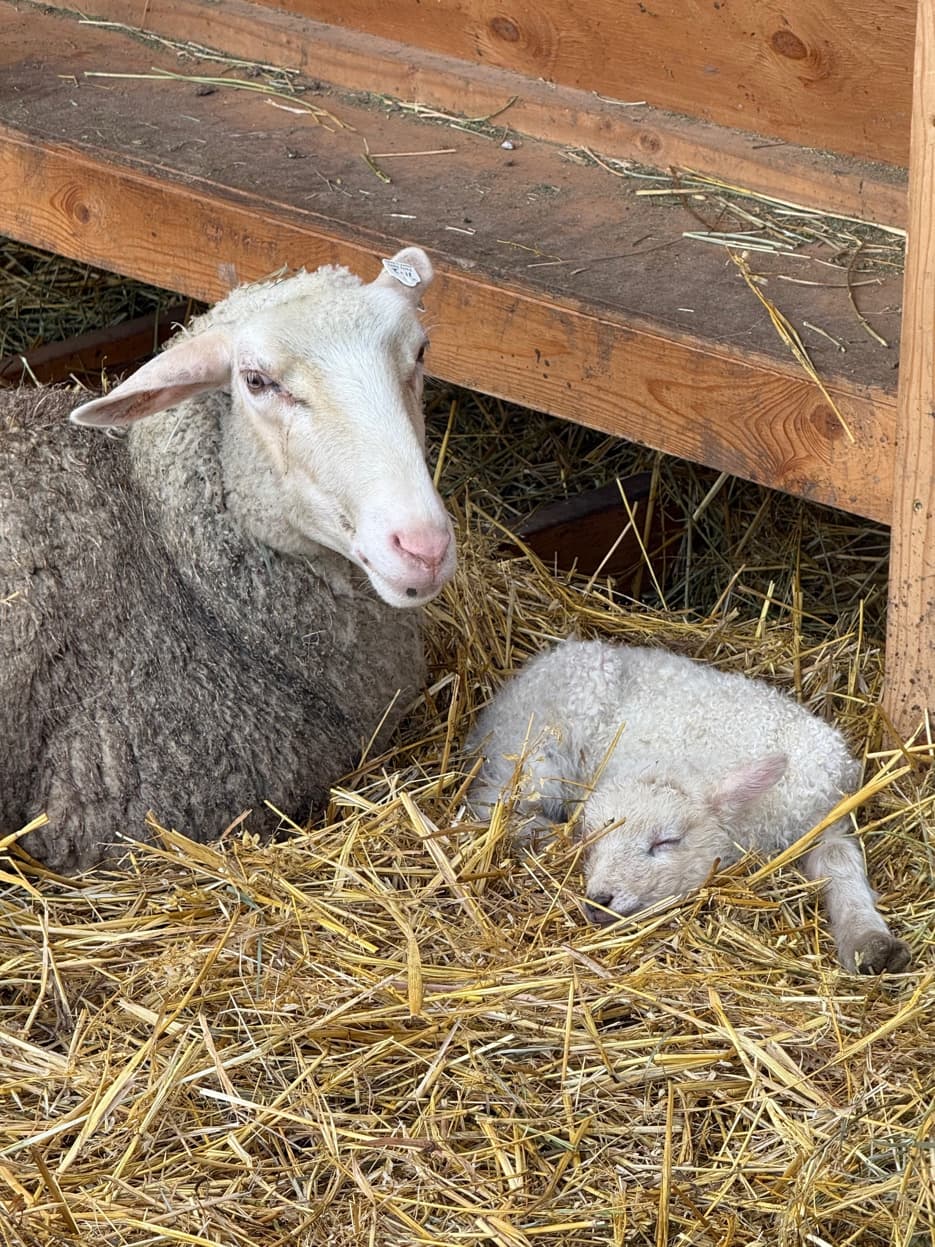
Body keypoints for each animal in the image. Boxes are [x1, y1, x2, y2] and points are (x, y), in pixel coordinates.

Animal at [468, 637, 911, 974]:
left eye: (666, 842)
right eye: (594, 839)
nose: (599, 902)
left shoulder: (825, 819)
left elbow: (840, 865)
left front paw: (871, 943)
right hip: (533, 750)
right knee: (494, 805)